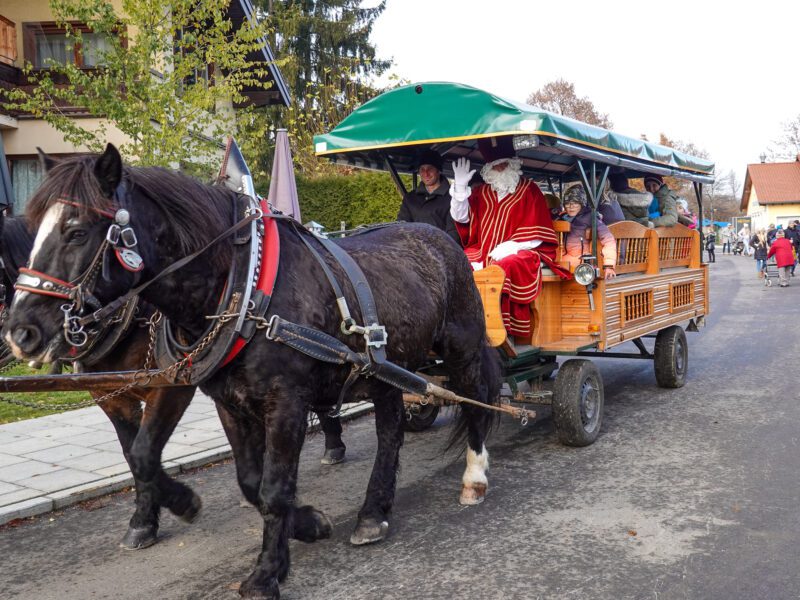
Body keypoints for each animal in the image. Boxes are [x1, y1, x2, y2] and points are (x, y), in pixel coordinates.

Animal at [1, 146, 500, 600]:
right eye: (33, 230)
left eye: (76, 231)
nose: (21, 332)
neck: (245, 287)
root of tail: (441, 238)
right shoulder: (226, 401)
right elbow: (242, 480)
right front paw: (304, 523)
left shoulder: (283, 402)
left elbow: (273, 487)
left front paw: (266, 573)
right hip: (384, 369)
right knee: (391, 432)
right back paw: (373, 512)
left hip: (463, 348)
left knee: (477, 401)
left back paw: (474, 477)